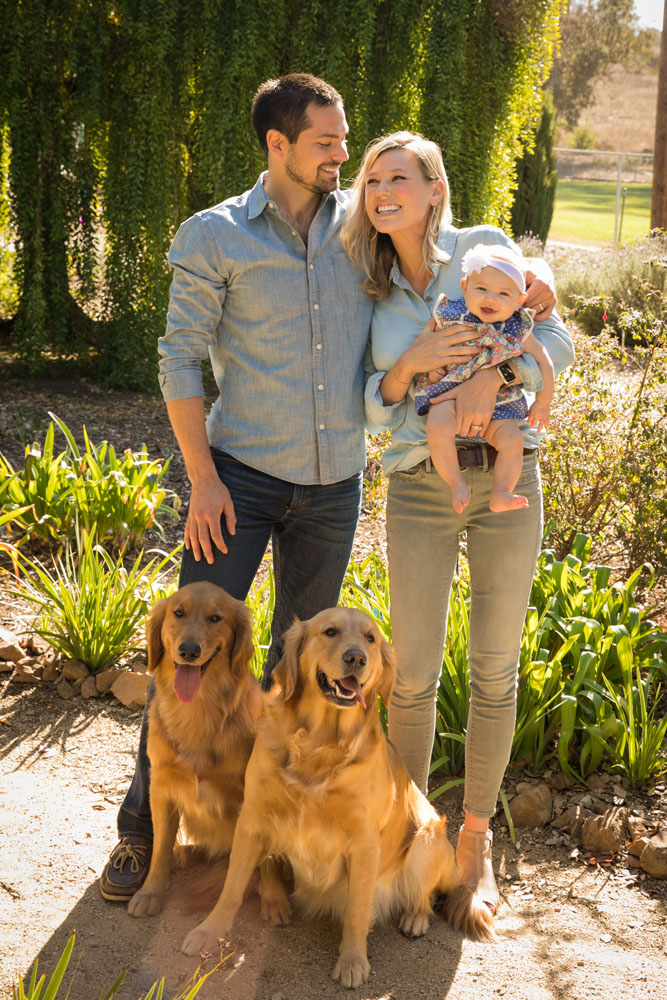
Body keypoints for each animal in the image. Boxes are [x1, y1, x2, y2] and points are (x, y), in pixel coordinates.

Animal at [181, 604, 486, 988]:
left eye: (371, 638)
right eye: (330, 632)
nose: (356, 657)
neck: (320, 741)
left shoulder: (364, 841)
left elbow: (357, 909)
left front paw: (353, 960)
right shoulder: (252, 818)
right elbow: (232, 888)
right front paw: (209, 932)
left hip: (427, 837)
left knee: (427, 894)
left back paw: (416, 917)